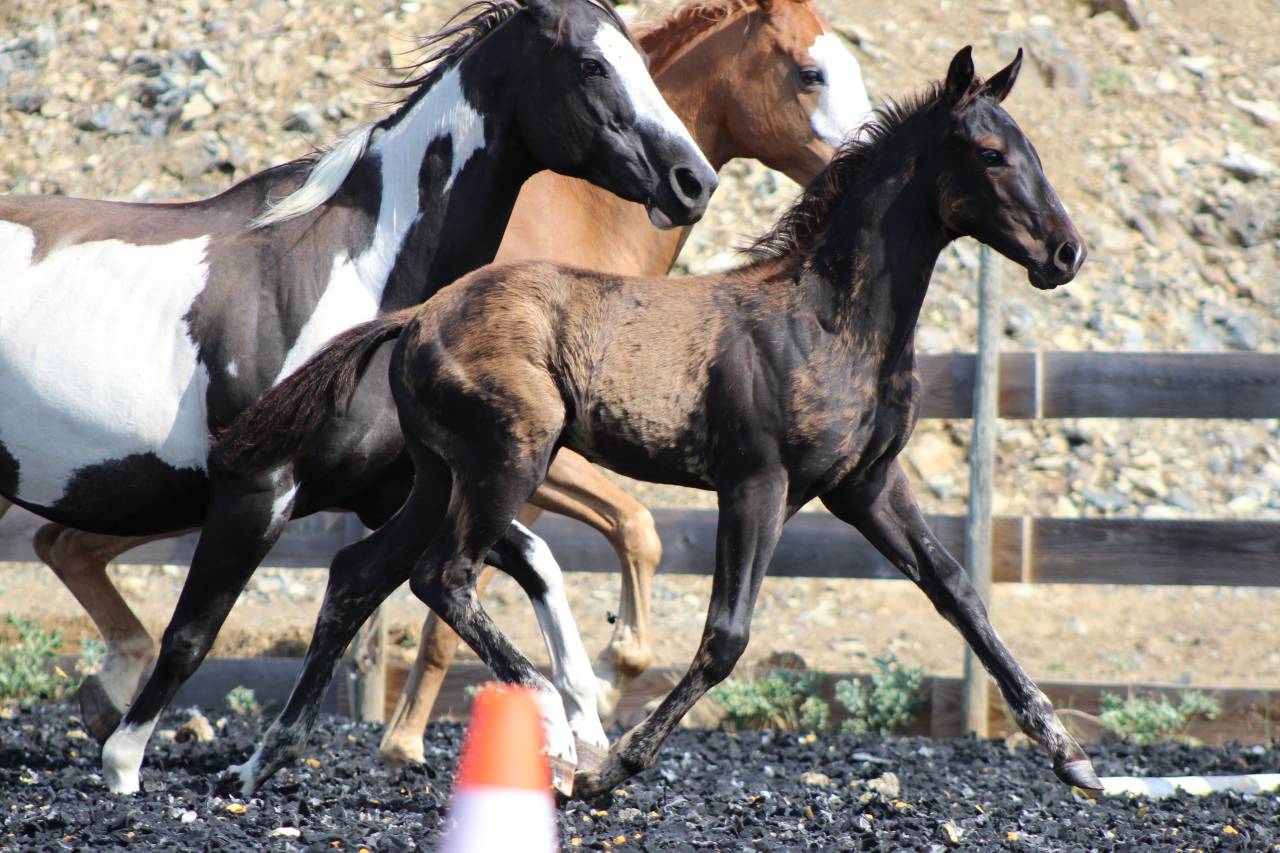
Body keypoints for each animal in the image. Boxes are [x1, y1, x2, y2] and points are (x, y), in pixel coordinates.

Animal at [0, 0, 715, 795]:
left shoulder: (391, 489)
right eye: (591, 66)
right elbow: (191, 634)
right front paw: (123, 766)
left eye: (643, 62)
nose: (695, 181)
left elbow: (522, 564)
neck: (358, 277)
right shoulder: (257, 490)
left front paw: (582, 732)